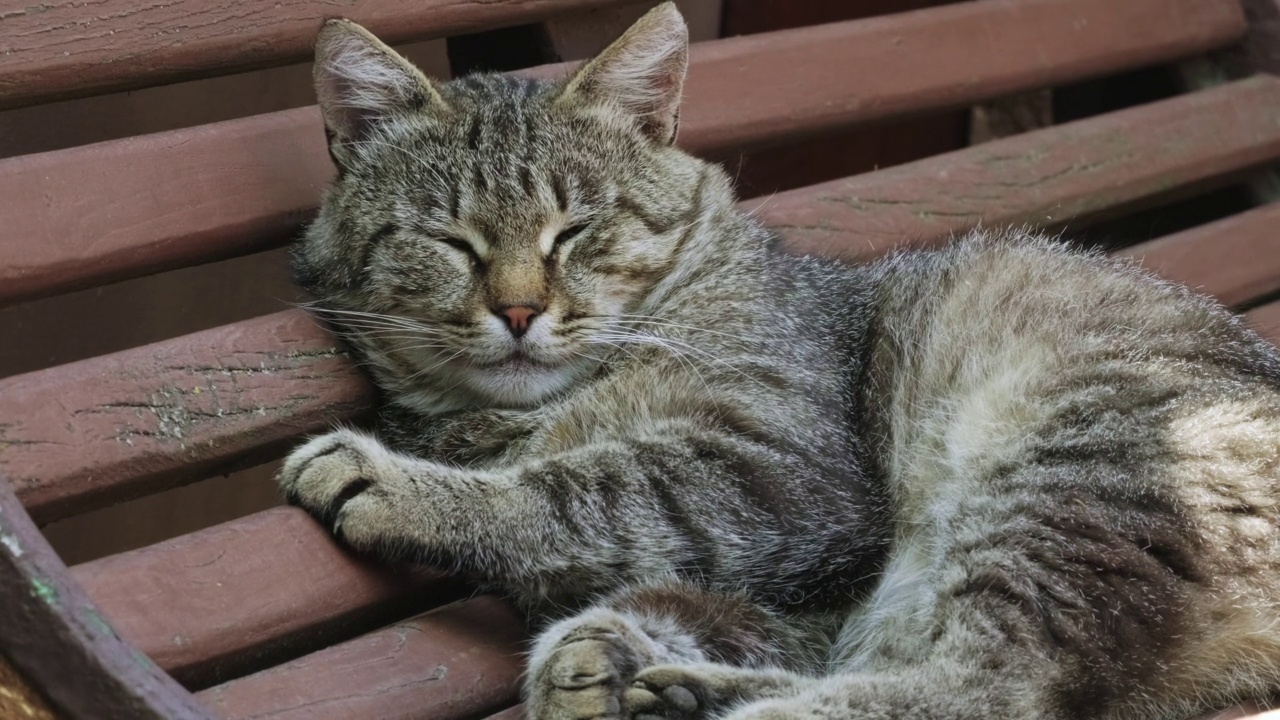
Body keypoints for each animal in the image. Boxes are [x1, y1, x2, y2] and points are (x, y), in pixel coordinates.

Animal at [275, 2, 1280, 712]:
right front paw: (619, 658)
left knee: (990, 690)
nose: (519, 310)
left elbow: (585, 491)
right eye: (449, 240)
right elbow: (713, 604)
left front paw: (403, 486)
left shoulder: (787, 471)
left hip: (1068, 473)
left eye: (576, 229)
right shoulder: (817, 590)